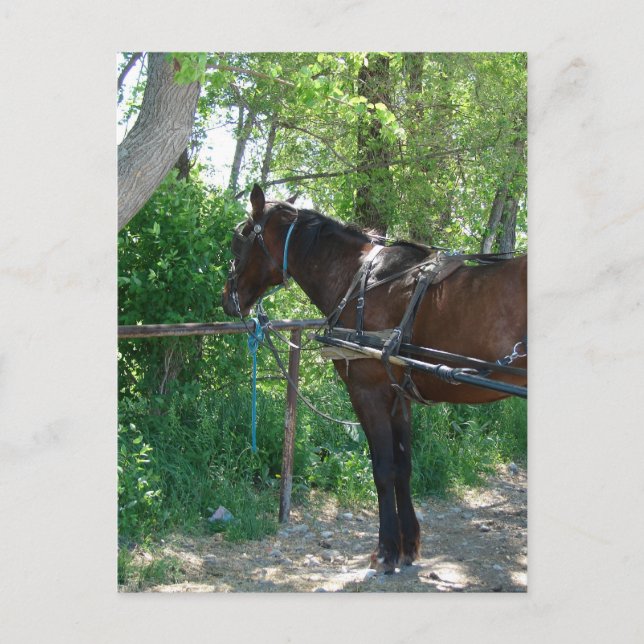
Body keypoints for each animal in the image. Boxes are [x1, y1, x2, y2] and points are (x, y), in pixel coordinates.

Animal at [222, 184, 527, 573]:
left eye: (240, 239)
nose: (227, 298)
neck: (361, 281)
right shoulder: (399, 396)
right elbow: (403, 466)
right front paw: (408, 545)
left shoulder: (367, 392)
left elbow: (382, 469)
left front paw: (386, 550)